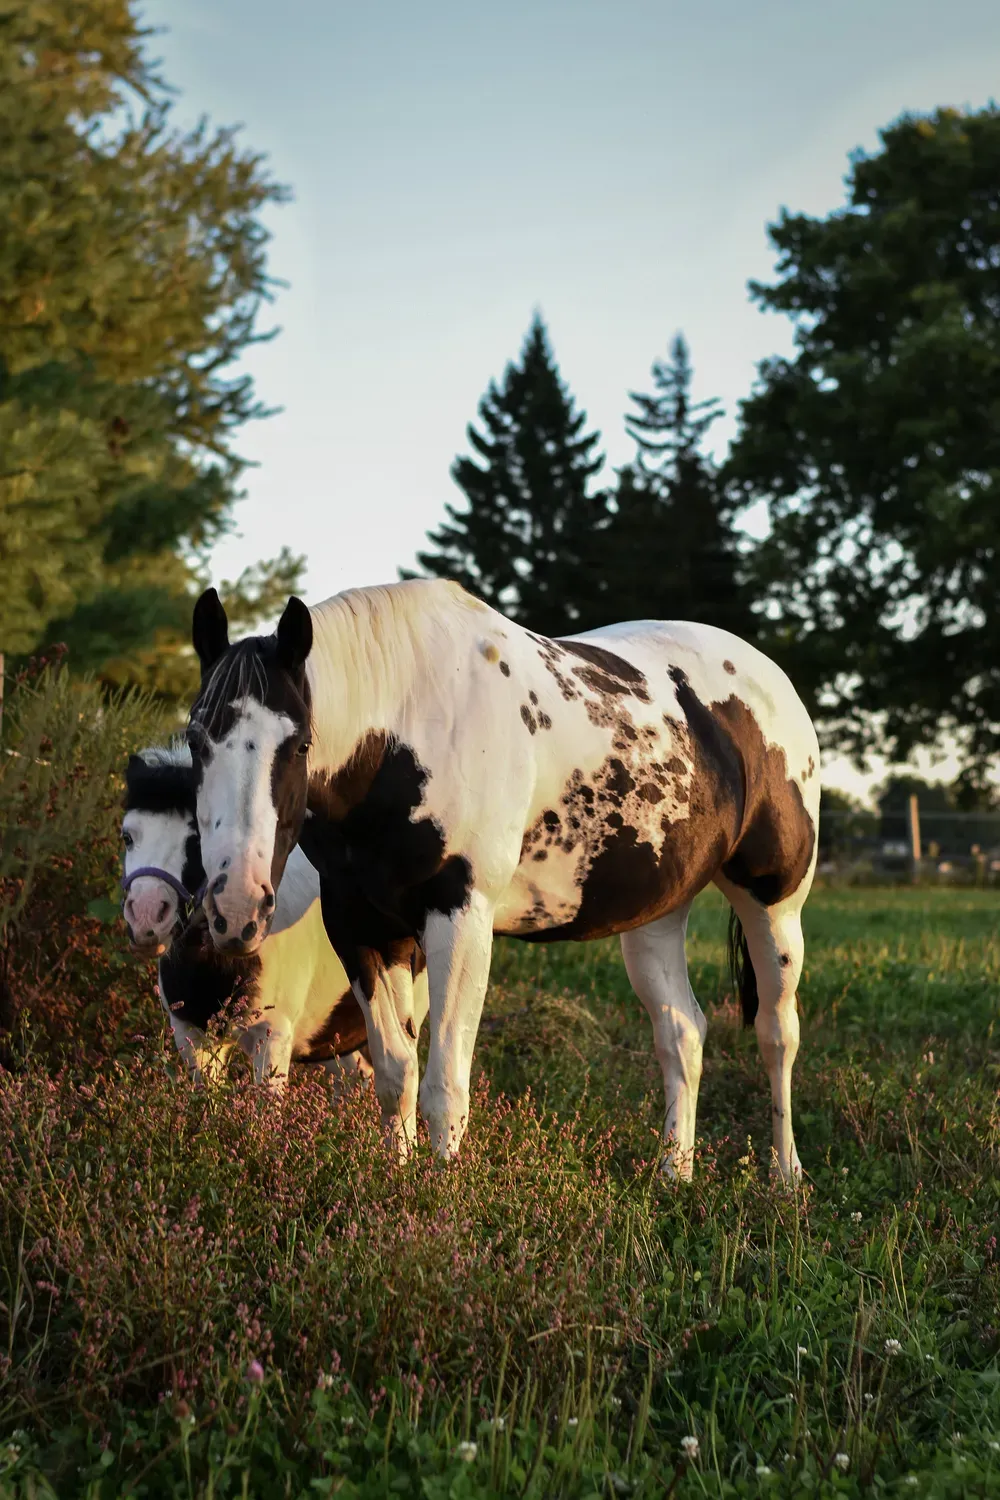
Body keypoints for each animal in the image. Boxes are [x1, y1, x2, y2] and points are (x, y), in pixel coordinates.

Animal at [187, 579, 821, 1176]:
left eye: (299, 743)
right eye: (196, 740)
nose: (236, 908)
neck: (405, 730)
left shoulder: (460, 917)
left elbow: (445, 1084)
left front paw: (440, 1195)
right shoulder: (362, 924)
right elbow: (395, 1072)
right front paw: (395, 1181)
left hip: (775, 905)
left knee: (777, 1034)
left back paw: (785, 1176)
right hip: (657, 916)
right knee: (682, 1034)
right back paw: (673, 1172)